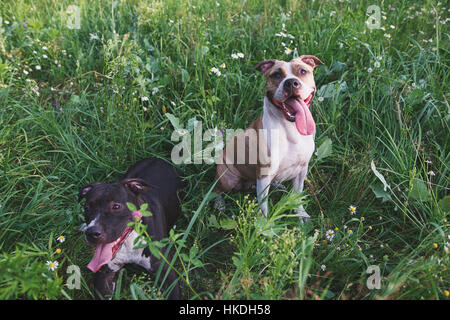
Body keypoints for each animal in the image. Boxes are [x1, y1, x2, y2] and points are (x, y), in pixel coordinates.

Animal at [78, 158, 184, 300]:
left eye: (116, 206)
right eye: (87, 208)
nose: (91, 233)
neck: (130, 241)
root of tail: (158, 159)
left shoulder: (165, 270)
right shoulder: (105, 274)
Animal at [215, 55, 324, 222]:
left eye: (302, 71)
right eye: (276, 75)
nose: (291, 83)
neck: (290, 129)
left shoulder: (301, 170)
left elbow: (297, 195)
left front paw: (300, 213)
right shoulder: (264, 175)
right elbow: (263, 207)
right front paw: (263, 225)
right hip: (227, 177)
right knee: (217, 189)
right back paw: (219, 203)